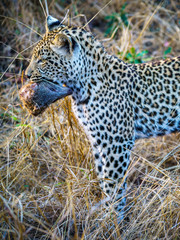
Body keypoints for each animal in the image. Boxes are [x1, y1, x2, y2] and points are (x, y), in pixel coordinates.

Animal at [19, 15, 179, 221]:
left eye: (43, 60)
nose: (27, 75)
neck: (81, 88)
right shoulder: (97, 141)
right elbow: (104, 180)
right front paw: (105, 215)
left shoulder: (116, 144)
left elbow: (113, 185)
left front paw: (113, 221)